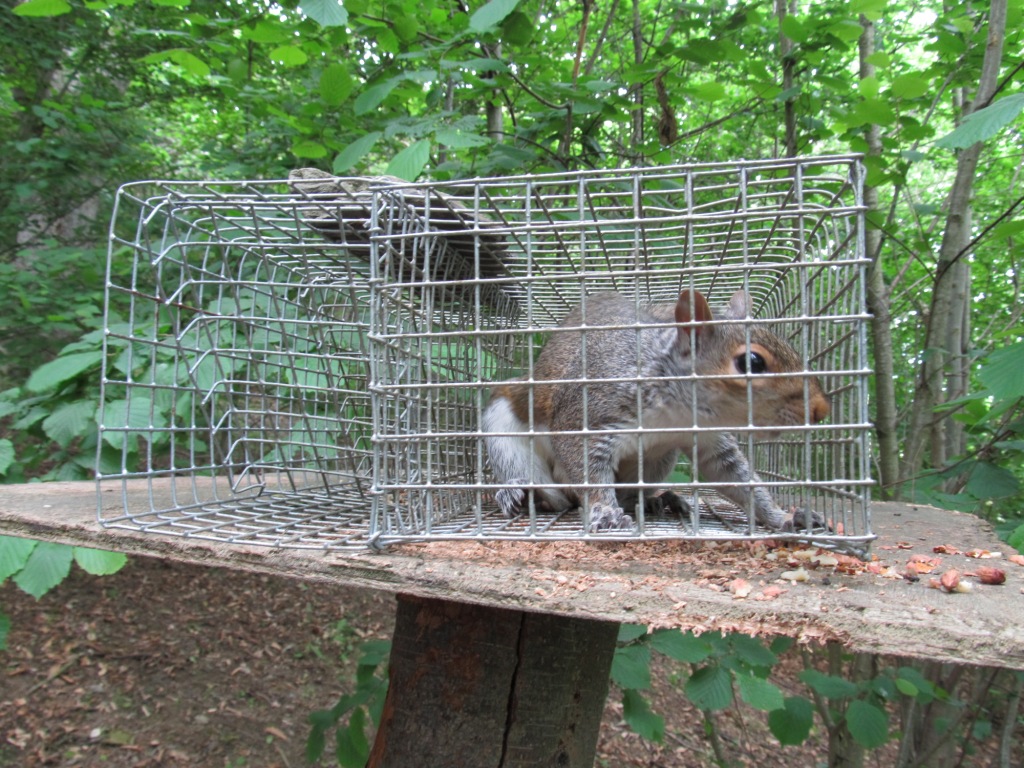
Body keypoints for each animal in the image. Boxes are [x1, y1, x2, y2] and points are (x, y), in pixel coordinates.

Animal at [481, 290, 831, 536]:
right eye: (752, 363)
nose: (821, 410)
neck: (675, 412)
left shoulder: (708, 439)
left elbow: (735, 478)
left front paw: (784, 516)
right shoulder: (587, 414)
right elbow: (587, 467)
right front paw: (604, 512)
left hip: (656, 461)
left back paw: (656, 500)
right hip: (505, 427)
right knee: (558, 497)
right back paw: (525, 494)